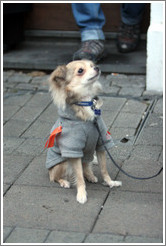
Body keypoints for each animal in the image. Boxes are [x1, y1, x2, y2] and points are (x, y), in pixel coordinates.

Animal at [45, 60, 122, 205]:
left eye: (92, 65)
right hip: (63, 163)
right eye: (80, 71)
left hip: (87, 155)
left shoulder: (101, 143)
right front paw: (81, 194)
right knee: (54, 177)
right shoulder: (73, 150)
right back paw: (64, 182)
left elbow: (103, 169)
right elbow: (79, 177)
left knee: (86, 166)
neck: (86, 103)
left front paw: (110, 182)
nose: (97, 67)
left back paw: (91, 176)